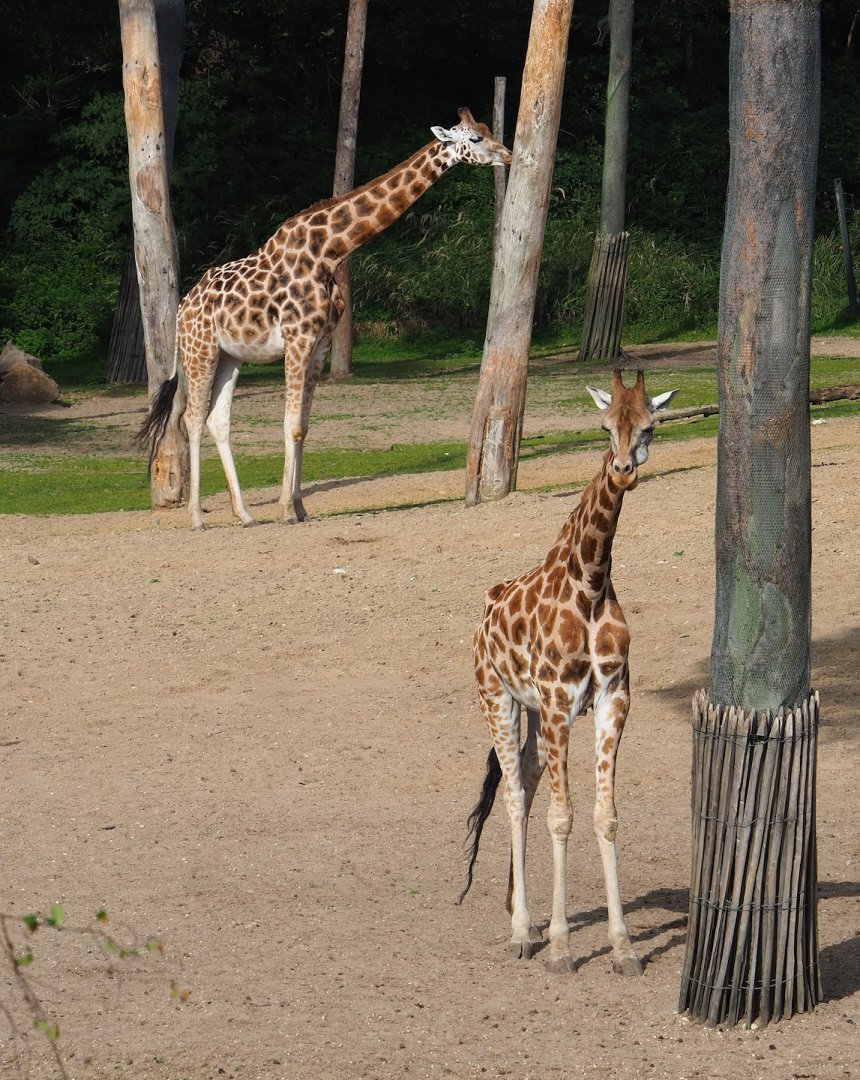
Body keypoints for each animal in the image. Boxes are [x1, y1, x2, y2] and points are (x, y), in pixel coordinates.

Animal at [138, 108, 511, 530]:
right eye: (475, 139)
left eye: (488, 130)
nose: (508, 155)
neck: (331, 252)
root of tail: (182, 309)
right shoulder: (297, 338)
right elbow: (290, 424)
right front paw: (286, 509)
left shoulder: (320, 344)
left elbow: (304, 427)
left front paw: (300, 508)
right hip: (199, 351)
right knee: (191, 419)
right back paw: (198, 518)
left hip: (230, 356)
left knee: (218, 420)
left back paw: (246, 514)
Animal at [459, 369, 678, 975]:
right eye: (605, 426)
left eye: (650, 424)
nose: (623, 470)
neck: (592, 583)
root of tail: (485, 613)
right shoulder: (559, 700)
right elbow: (563, 816)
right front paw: (560, 947)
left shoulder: (612, 699)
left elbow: (605, 815)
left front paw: (624, 948)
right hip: (498, 699)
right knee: (514, 792)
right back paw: (522, 932)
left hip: (533, 712)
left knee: (529, 779)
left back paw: (523, 913)